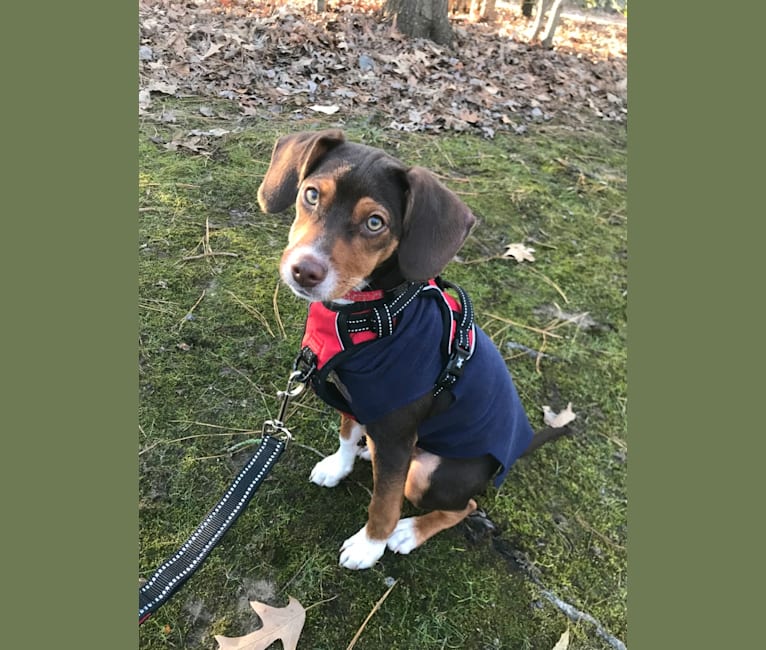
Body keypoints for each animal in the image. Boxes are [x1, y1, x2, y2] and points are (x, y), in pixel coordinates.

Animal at [258, 130, 568, 568]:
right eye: (311, 195)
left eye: (375, 222)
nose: (304, 270)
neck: (372, 312)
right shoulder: (358, 400)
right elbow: (346, 434)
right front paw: (339, 466)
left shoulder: (397, 432)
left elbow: (384, 501)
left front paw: (369, 545)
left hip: (427, 475)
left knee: (464, 505)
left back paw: (408, 531)